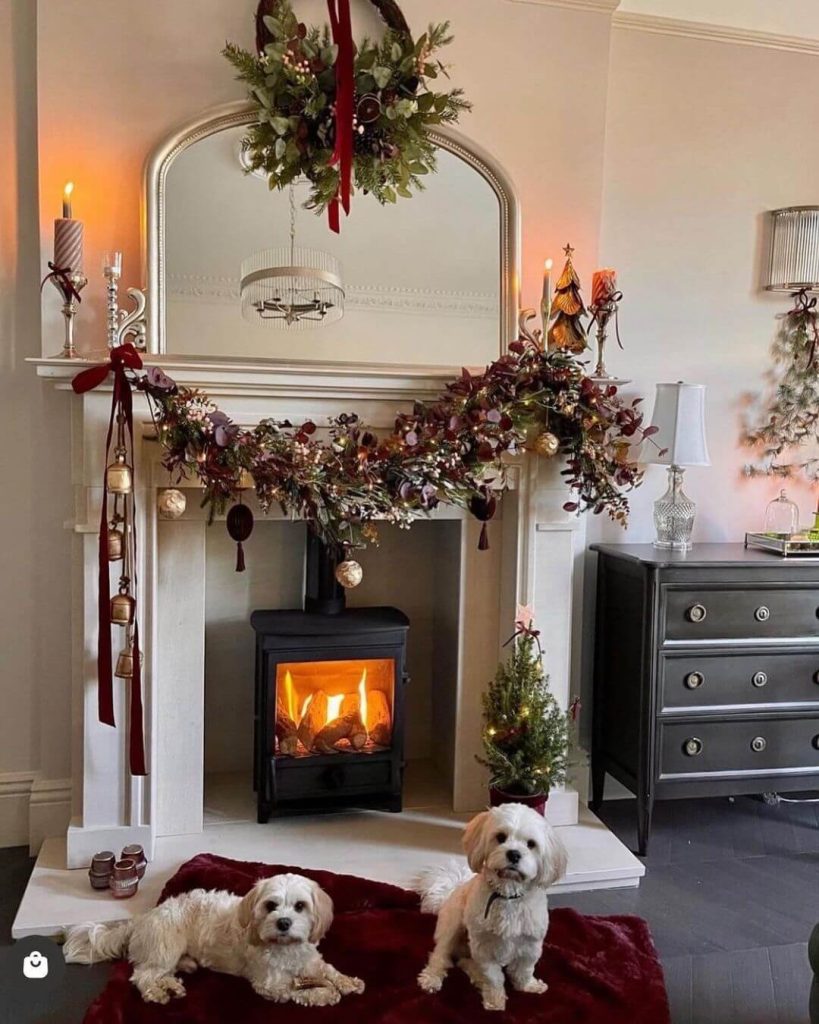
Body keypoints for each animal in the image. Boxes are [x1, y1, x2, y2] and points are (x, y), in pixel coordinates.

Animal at [65, 872, 366, 1007]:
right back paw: (158, 991)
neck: (287, 949)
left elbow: (329, 970)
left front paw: (347, 982)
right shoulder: (270, 985)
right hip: (166, 946)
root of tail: (143, 917)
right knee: (143, 976)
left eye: (300, 906)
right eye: (271, 906)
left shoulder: (312, 961)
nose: (283, 922)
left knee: (159, 972)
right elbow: (298, 990)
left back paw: (175, 982)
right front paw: (324, 993)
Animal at [419, 802, 565, 1011]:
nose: (514, 854)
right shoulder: (484, 948)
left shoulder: (531, 944)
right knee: (441, 955)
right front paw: (495, 1000)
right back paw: (432, 978)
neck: (508, 895)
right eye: (501, 837)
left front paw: (528, 986)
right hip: (452, 925)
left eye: (531, 844)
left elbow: (524, 970)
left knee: (464, 961)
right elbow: (494, 977)